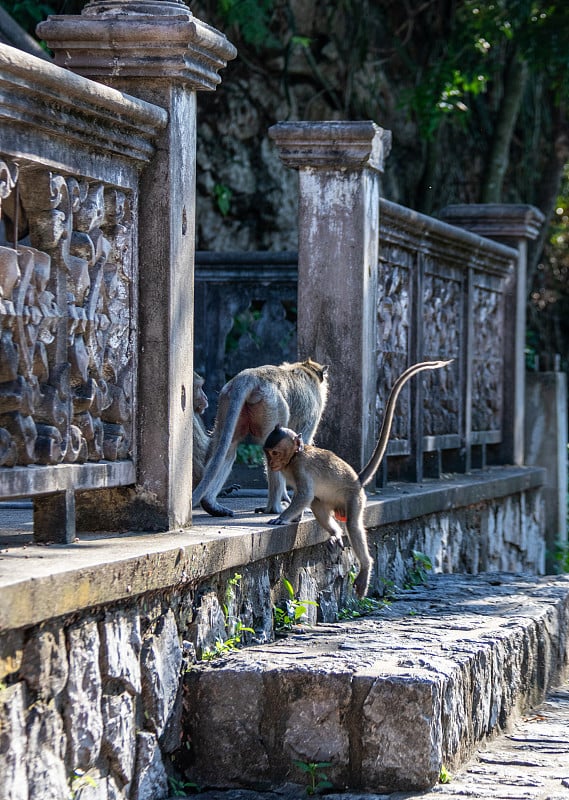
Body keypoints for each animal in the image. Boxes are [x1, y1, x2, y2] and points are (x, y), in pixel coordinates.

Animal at [192, 358, 328, 520]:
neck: (306, 370)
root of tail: (250, 376)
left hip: (227, 400)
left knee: (228, 448)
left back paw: (210, 504)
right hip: (273, 404)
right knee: (276, 447)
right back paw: (275, 509)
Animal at [262, 360, 452, 596]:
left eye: (275, 453)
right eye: (267, 453)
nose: (271, 463)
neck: (294, 456)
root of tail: (357, 481)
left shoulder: (300, 467)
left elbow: (304, 495)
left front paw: (283, 517)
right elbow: (303, 496)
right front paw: (294, 516)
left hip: (353, 498)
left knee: (352, 525)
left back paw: (365, 567)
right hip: (333, 502)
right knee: (319, 506)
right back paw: (335, 533)